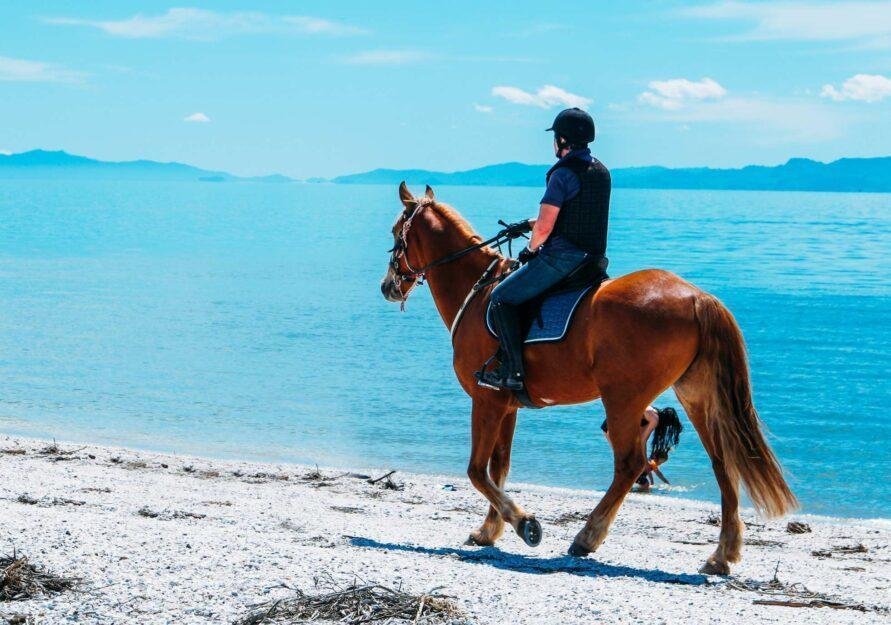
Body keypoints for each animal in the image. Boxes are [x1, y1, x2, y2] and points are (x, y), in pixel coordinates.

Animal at [380, 182, 796, 575]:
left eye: (396, 232)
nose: (388, 286)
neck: (478, 293)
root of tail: (697, 297)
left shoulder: (486, 400)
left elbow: (476, 470)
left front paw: (525, 524)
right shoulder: (506, 405)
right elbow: (499, 467)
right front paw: (489, 531)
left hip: (623, 398)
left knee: (630, 464)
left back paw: (588, 536)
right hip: (696, 396)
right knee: (721, 462)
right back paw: (722, 554)